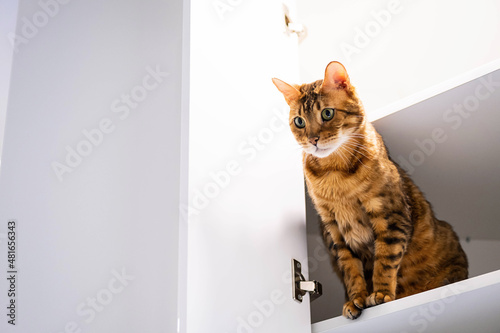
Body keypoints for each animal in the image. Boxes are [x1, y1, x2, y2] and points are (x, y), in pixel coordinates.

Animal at [272, 61, 466, 318]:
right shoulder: (334, 230)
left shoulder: (390, 215)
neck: (334, 175)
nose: (313, 139)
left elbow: (385, 259)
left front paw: (382, 293)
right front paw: (356, 299)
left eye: (327, 113)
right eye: (299, 121)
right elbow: (351, 270)